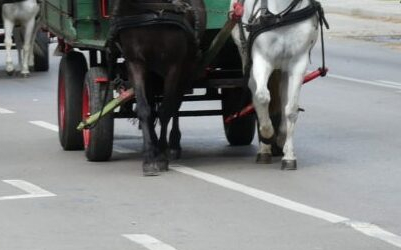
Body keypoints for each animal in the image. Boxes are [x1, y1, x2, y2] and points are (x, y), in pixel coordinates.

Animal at [108, 0, 205, 176]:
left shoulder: (174, 65)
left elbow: (166, 110)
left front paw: (161, 156)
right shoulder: (135, 62)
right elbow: (144, 109)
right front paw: (149, 156)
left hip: (187, 68)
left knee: (175, 104)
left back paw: (172, 144)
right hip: (152, 73)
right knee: (152, 106)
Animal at [231, 0, 324, 170]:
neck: (281, 15)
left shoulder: (298, 63)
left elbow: (291, 109)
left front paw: (288, 154)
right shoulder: (262, 59)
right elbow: (262, 97)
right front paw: (268, 134)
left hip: (283, 69)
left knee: (282, 98)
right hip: (246, 55)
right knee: (255, 90)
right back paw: (264, 149)